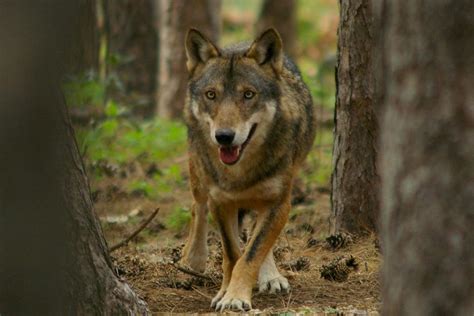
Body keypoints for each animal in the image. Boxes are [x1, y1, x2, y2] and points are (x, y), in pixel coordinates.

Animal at [180, 26, 316, 312]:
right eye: (211, 94)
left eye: (248, 94)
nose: (224, 137)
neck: (239, 173)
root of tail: (240, 42)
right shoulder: (220, 202)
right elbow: (232, 254)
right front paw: (225, 293)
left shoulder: (279, 203)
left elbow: (253, 252)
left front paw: (236, 296)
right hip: (198, 172)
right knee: (197, 206)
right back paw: (193, 258)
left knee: (258, 235)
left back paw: (271, 276)